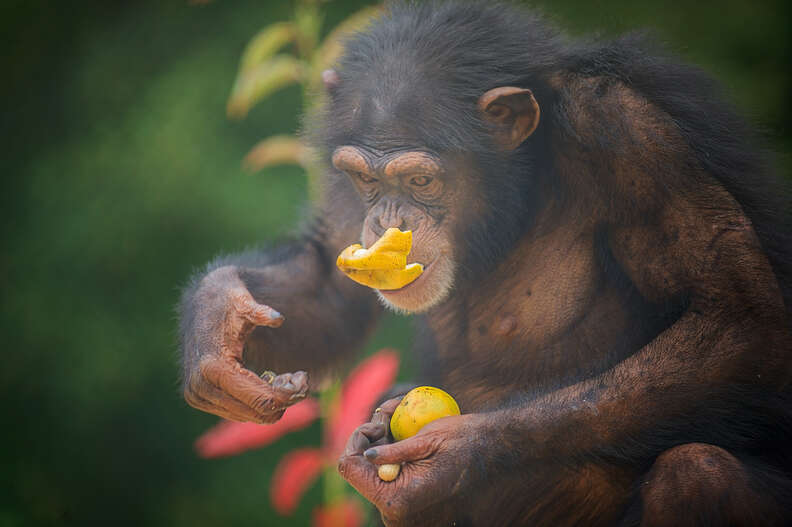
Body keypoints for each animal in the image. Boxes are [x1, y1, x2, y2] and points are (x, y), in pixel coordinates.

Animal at [179, 2, 792, 524]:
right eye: (364, 179)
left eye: (420, 181)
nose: (384, 221)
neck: (519, 189)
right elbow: (331, 285)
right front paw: (217, 323)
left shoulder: (628, 136)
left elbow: (737, 322)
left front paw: (451, 460)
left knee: (697, 474)